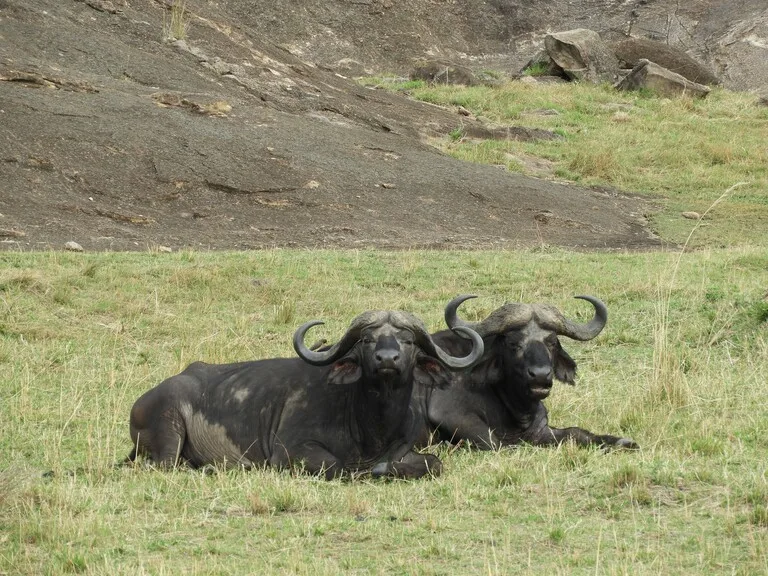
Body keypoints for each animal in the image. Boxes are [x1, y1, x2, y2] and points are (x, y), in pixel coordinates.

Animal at [128, 308, 484, 480]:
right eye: (367, 340)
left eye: (407, 341)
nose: (387, 359)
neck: (371, 426)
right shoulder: (291, 452)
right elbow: (339, 467)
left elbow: (434, 464)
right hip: (169, 432)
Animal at [416, 296, 640, 450]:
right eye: (514, 343)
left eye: (552, 342)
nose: (540, 375)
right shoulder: (451, 413)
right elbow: (500, 443)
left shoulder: (541, 430)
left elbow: (576, 432)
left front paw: (622, 442)